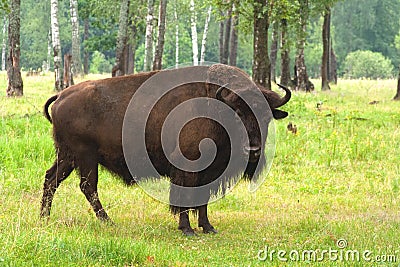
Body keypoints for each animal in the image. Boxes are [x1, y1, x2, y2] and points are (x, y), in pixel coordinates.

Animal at [41, 65, 290, 237]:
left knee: (51, 179)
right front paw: (187, 229)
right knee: (88, 187)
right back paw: (108, 221)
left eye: (266, 116)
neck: (217, 109)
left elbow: (203, 200)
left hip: (67, 157)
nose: (254, 149)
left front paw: (208, 227)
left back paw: (45, 217)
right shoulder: (188, 167)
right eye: (237, 113)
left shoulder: (210, 171)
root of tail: (62, 96)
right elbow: (185, 197)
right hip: (85, 158)